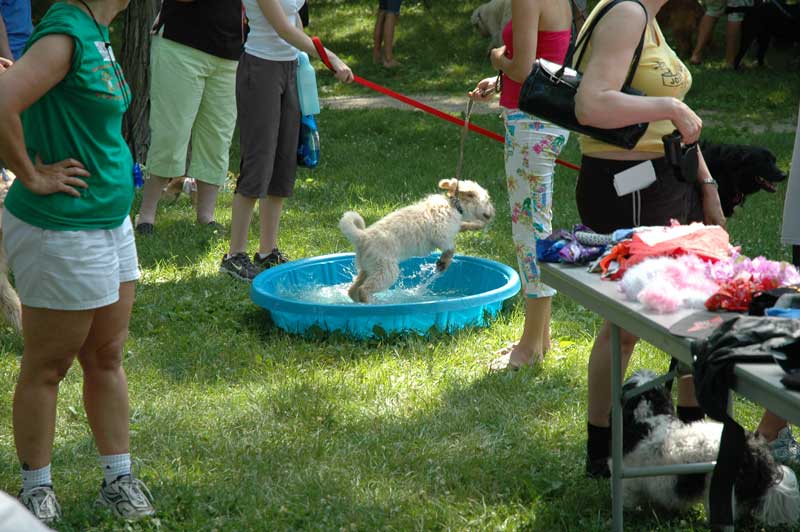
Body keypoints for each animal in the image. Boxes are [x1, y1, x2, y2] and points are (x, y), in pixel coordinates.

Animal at [338, 179, 494, 304]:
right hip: (386, 271)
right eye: (487, 201)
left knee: (353, 290)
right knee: (364, 289)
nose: (493, 213)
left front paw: (476, 225)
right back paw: (371, 303)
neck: (454, 205)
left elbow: (463, 225)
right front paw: (445, 261)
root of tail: (362, 236)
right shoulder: (441, 234)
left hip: (368, 268)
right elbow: (451, 247)